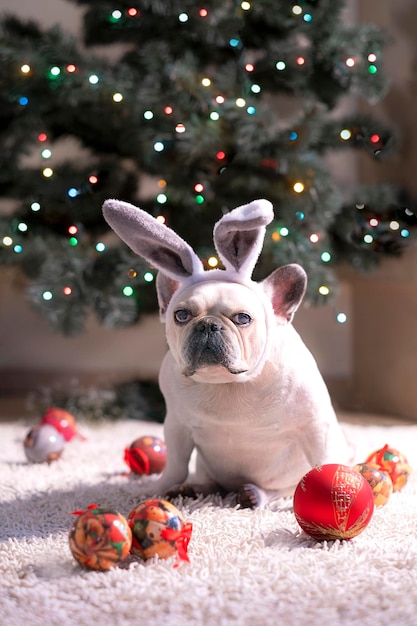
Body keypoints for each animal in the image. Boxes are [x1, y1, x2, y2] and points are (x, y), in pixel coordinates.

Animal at [102, 197, 350, 504]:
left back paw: (256, 495)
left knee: (281, 491)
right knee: (207, 481)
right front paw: (158, 489)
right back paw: (192, 489)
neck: (228, 383)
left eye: (243, 318)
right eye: (181, 315)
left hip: (286, 481)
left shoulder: (315, 426)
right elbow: (175, 466)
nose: (208, 325)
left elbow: (323, 462)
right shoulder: (177, 427)